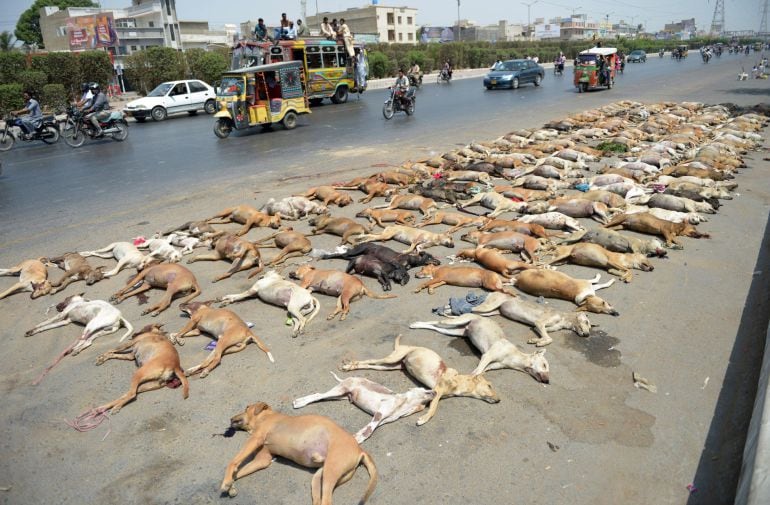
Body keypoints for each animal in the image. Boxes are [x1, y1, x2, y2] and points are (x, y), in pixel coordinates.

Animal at [218, 400, 376, 502]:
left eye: (246, 407)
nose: (230, 419)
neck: (266, 416)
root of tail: (360, 450)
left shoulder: (256, 438)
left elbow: (233, 462)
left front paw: (226, 483)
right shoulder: (262, 460)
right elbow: (238, 473)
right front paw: (230, 484)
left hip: (330, 472)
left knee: (327, 501)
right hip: (319, 477)